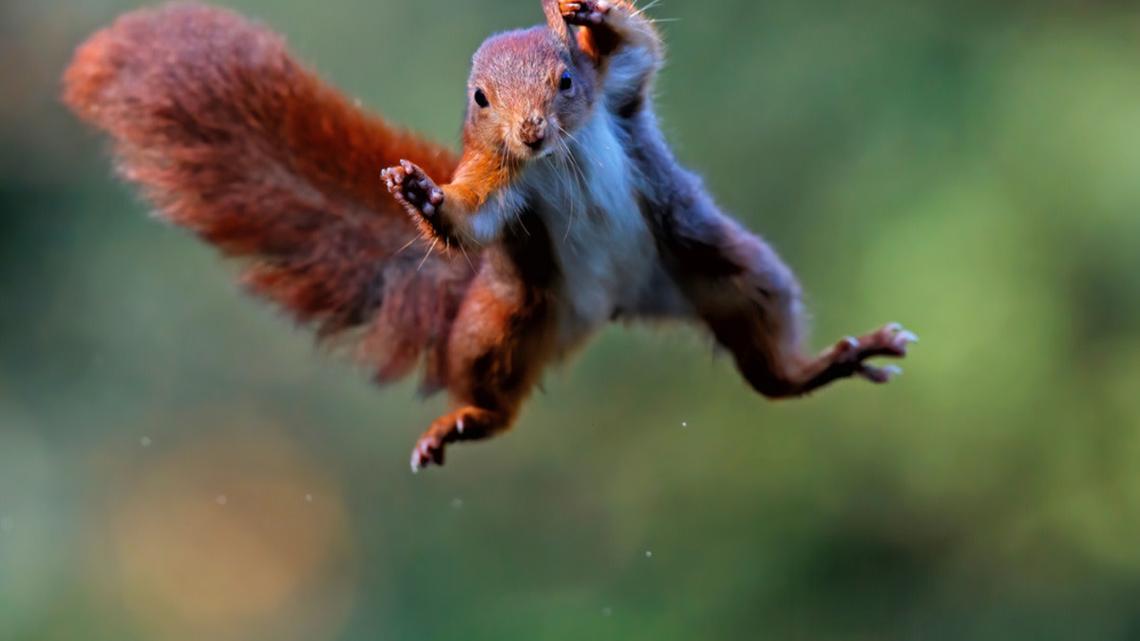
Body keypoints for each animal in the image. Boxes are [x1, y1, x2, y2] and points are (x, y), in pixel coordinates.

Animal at [63, 1, 916, 472]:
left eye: (565, 81)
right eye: (480, 99)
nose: (531, 130)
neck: (556, 156)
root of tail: (618, 302)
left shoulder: (621, 97)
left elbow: (639, 48)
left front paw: (590, 13)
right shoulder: (494, 180)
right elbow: (468, 220)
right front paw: (420, 195)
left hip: (718, 264)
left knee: (768, 364)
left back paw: (828, 362)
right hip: (506, 317)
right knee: (497, 393)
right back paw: (469, 418)